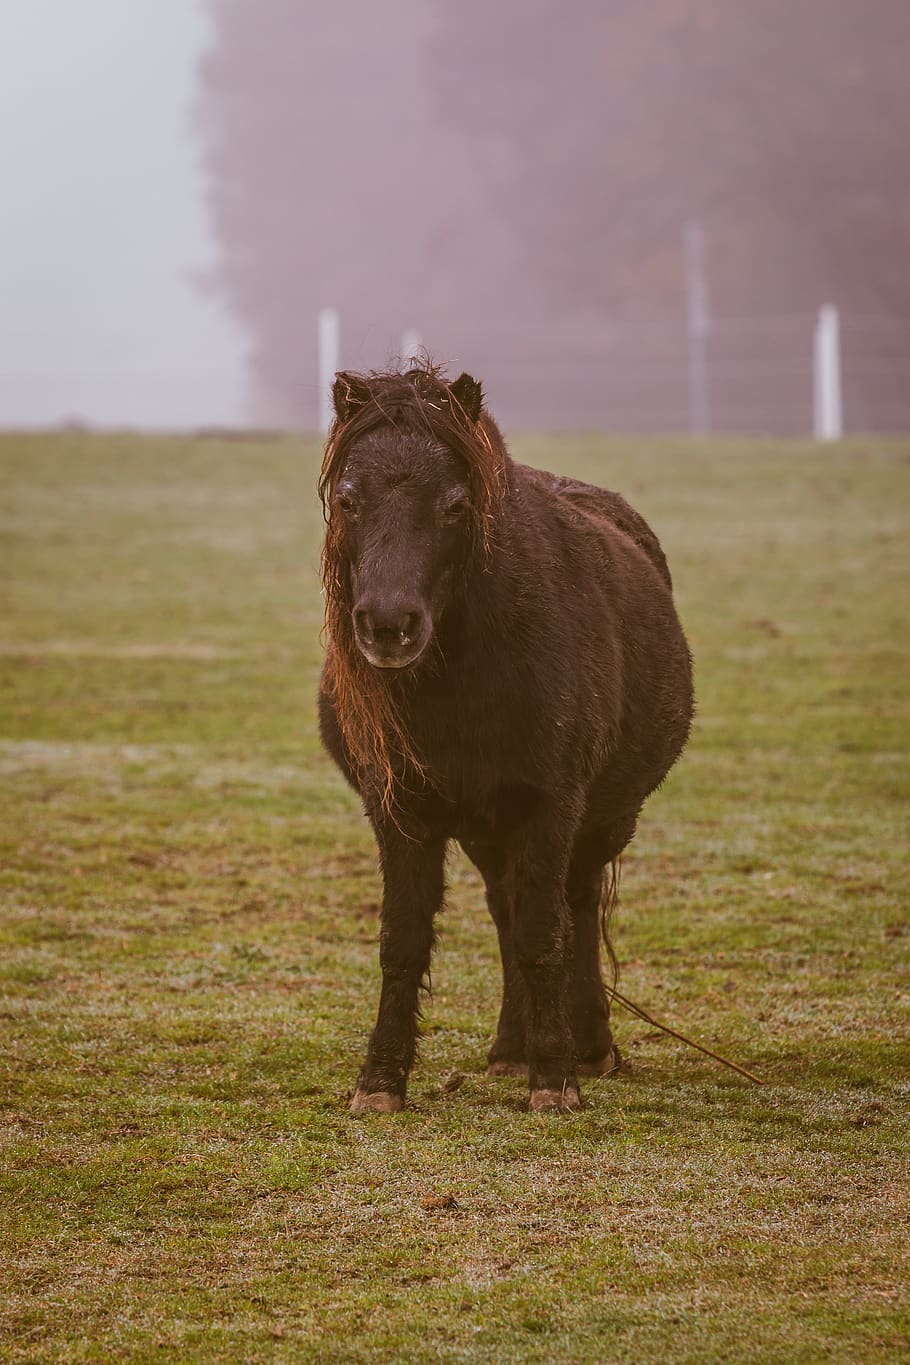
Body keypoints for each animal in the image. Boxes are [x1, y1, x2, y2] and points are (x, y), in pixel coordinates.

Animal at [318, 362, 694, 1113]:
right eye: (348, 500)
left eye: (455, 505)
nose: (388, 625)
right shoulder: (399, 810)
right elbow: (404, 939)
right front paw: (380, 1081)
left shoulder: (551, 806)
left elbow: (544, 934)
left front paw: (554, 1080)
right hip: (486, 830)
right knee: (504, 909)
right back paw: (508, 1049)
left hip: (597, 820)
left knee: (573, 908)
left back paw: (587, 1047)